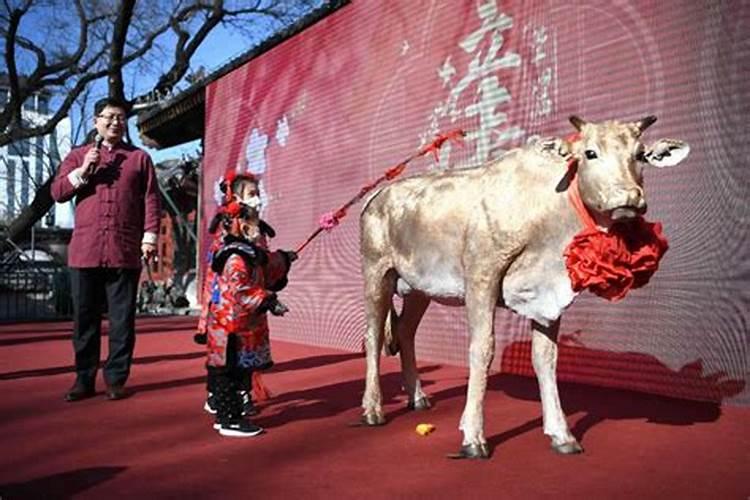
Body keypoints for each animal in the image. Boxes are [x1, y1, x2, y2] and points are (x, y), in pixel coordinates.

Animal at [362, 115, 692, 458]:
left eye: (640, 155)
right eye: (590, 153)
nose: (628, 197)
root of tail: (379, 193)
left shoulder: (549, 295)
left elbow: (546, 358)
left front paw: (562, 434)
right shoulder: (481, 275)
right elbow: (482, 349)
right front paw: (473, 437)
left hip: (419, 289)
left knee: (405, 331)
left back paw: (417, 397)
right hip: (376, 271)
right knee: (373, 337)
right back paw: (373, 409)